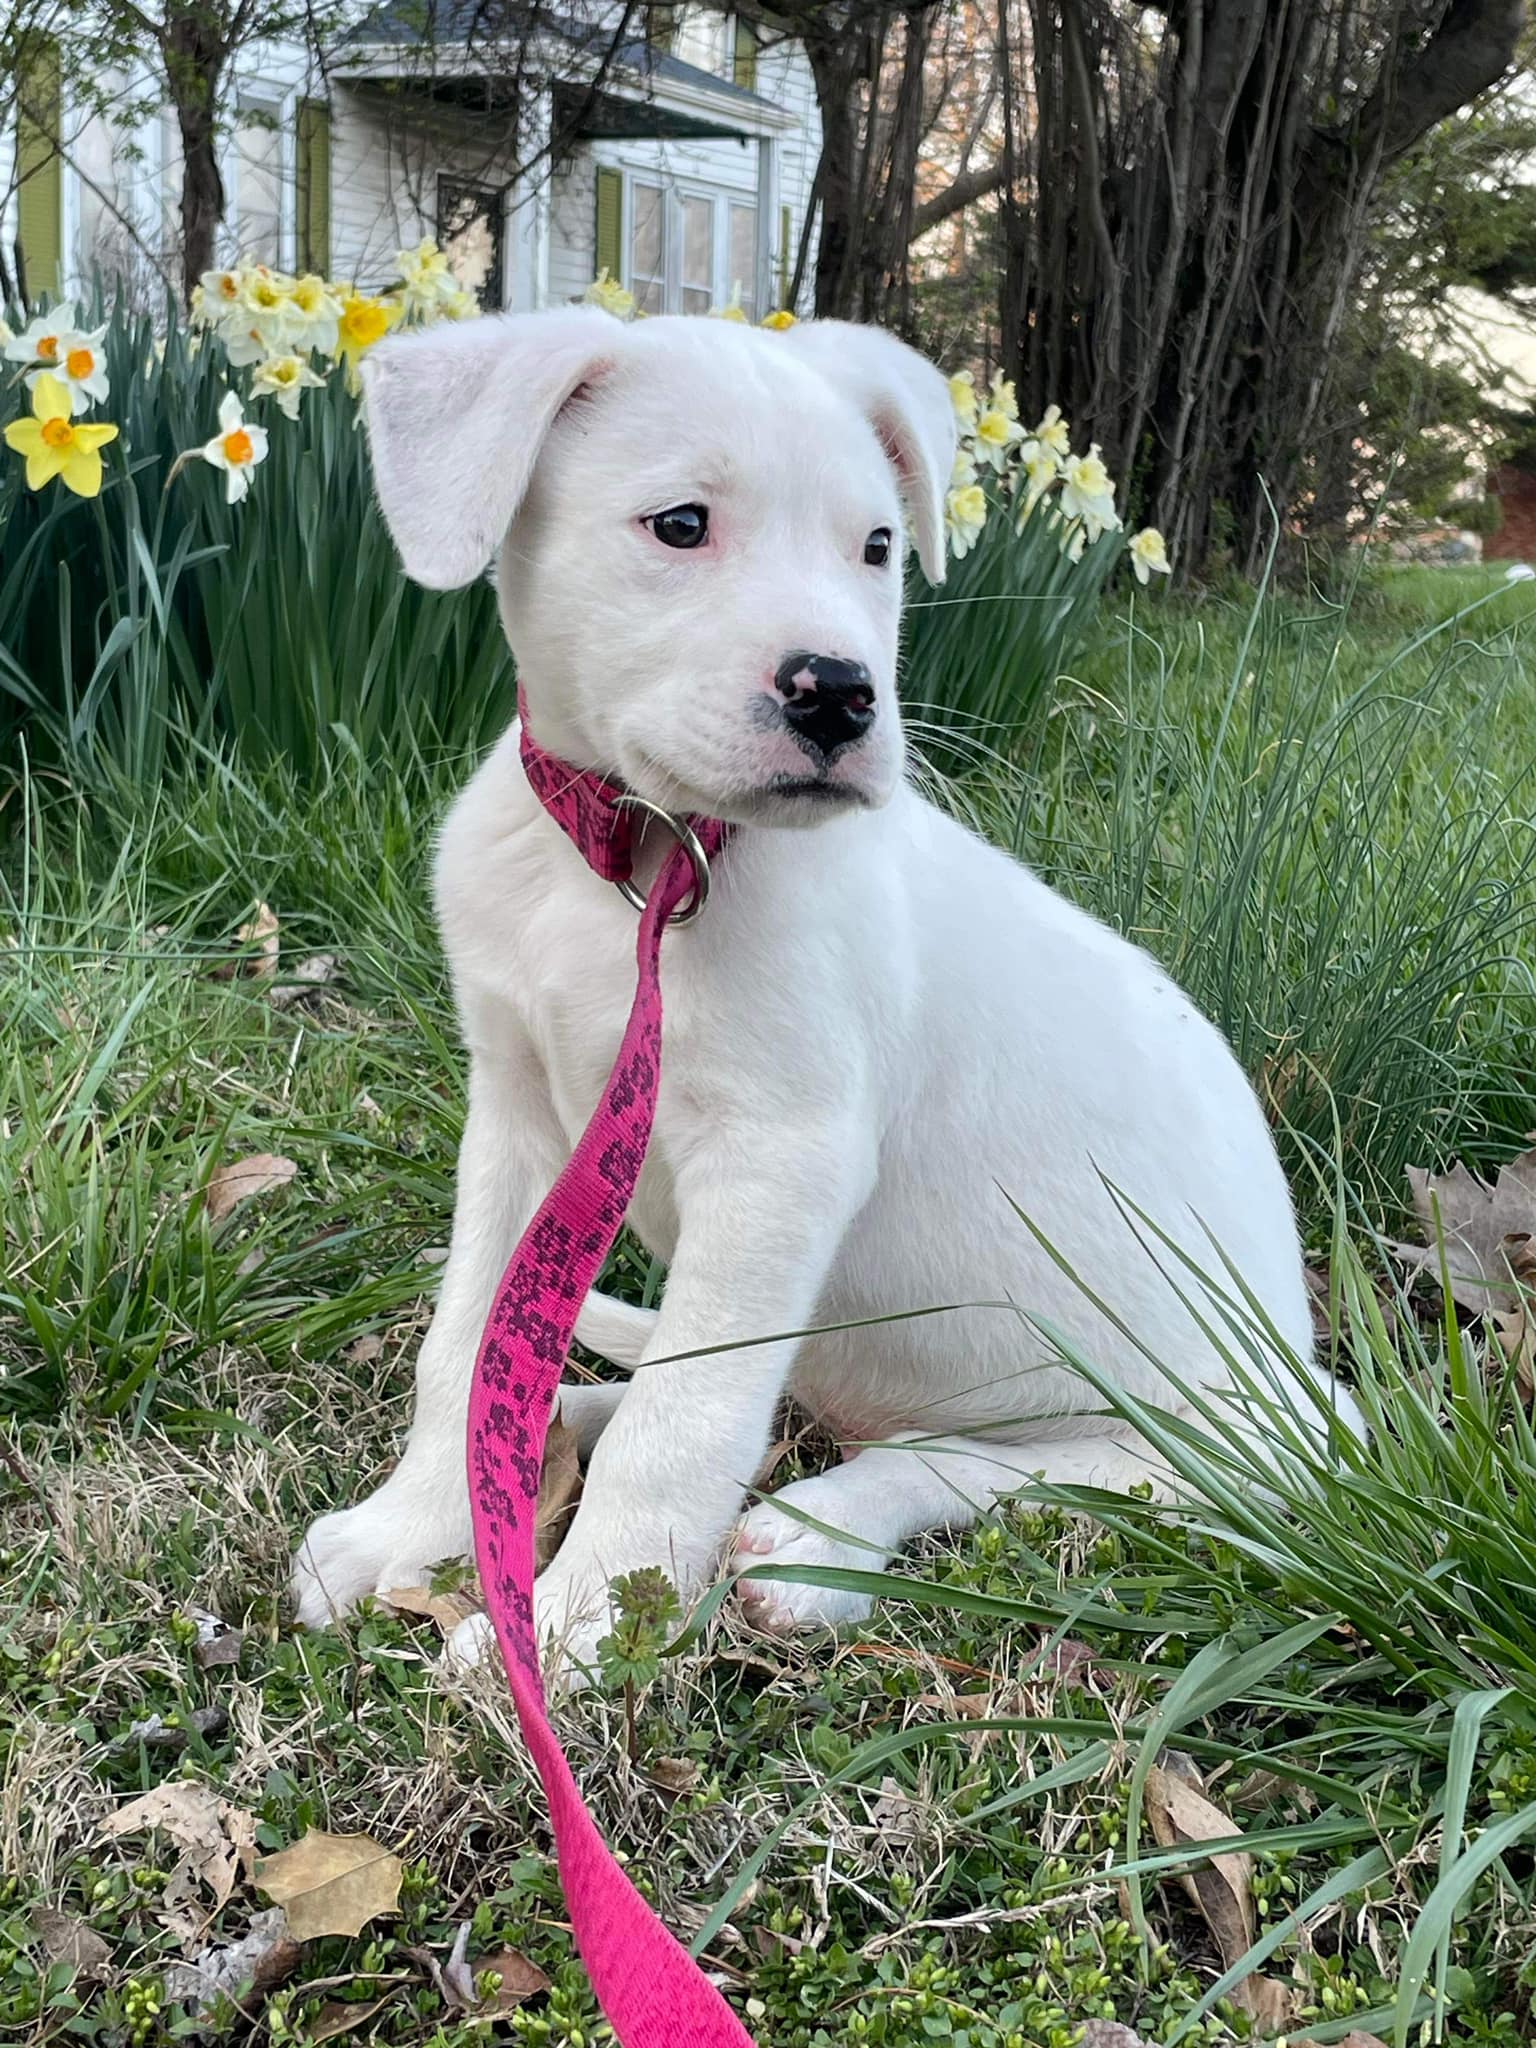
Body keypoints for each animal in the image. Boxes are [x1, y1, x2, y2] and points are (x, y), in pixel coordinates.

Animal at [294, 311, 1351, 1671]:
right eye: (681, 524)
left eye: (879, 546)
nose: (841, 693)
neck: (640, 866)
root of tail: (1307, 1388)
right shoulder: (520, 1124)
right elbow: (470, 1343)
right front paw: (416, 1520)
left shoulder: (779, 1163)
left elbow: (688, 1415)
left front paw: (587, 1617)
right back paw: (572, 1422)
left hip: (1207, 1449)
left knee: (991, 1464)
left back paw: (813, 1538)